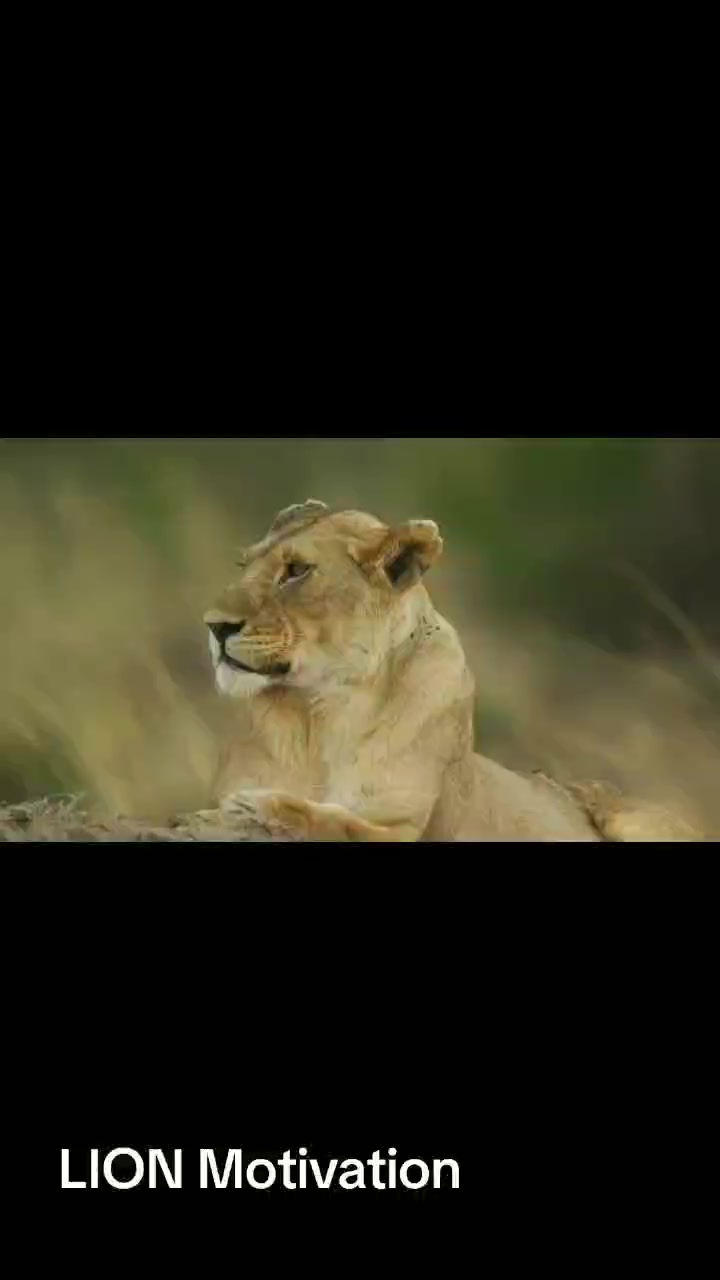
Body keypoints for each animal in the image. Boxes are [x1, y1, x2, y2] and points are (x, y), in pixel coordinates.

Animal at [200, 500, 704, 842]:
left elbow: (334, 818)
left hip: (636, 819)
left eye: (296, 570)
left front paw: (258, 806)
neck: (322, 709)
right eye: (244, 565)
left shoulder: (402, 828)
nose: (214, 626)